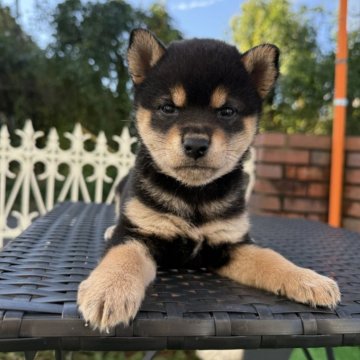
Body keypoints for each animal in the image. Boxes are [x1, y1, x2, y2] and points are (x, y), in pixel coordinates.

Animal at [76, 28, 340, 332]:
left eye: (226, 111)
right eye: (168, 108)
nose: (195, 144)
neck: (194, 196)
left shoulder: (231, 244)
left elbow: (271, 258)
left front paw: (308, 279)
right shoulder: (138, 233)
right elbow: (123, 256)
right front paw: (108, 290)